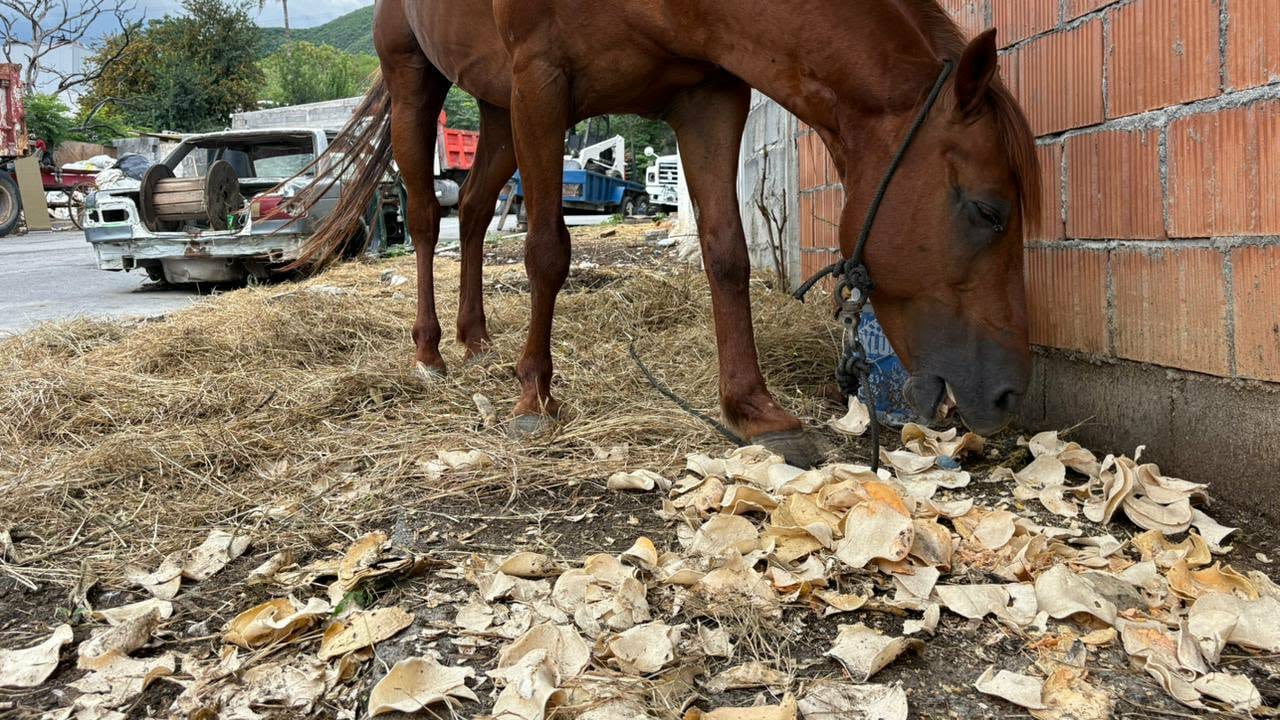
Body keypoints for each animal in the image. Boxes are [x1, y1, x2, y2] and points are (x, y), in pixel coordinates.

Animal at [298, 0, 1040, 468]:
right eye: (988, 211)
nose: (1008, 394)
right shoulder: (541, 80)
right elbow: (547, 251)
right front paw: (534, 396)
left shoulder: (708, 93)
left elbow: (726, 250)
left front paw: (754, 409)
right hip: (419, 78)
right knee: (430, 220)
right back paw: (429, 352)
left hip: (496, 103)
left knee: (476, 212)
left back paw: (475, 338)